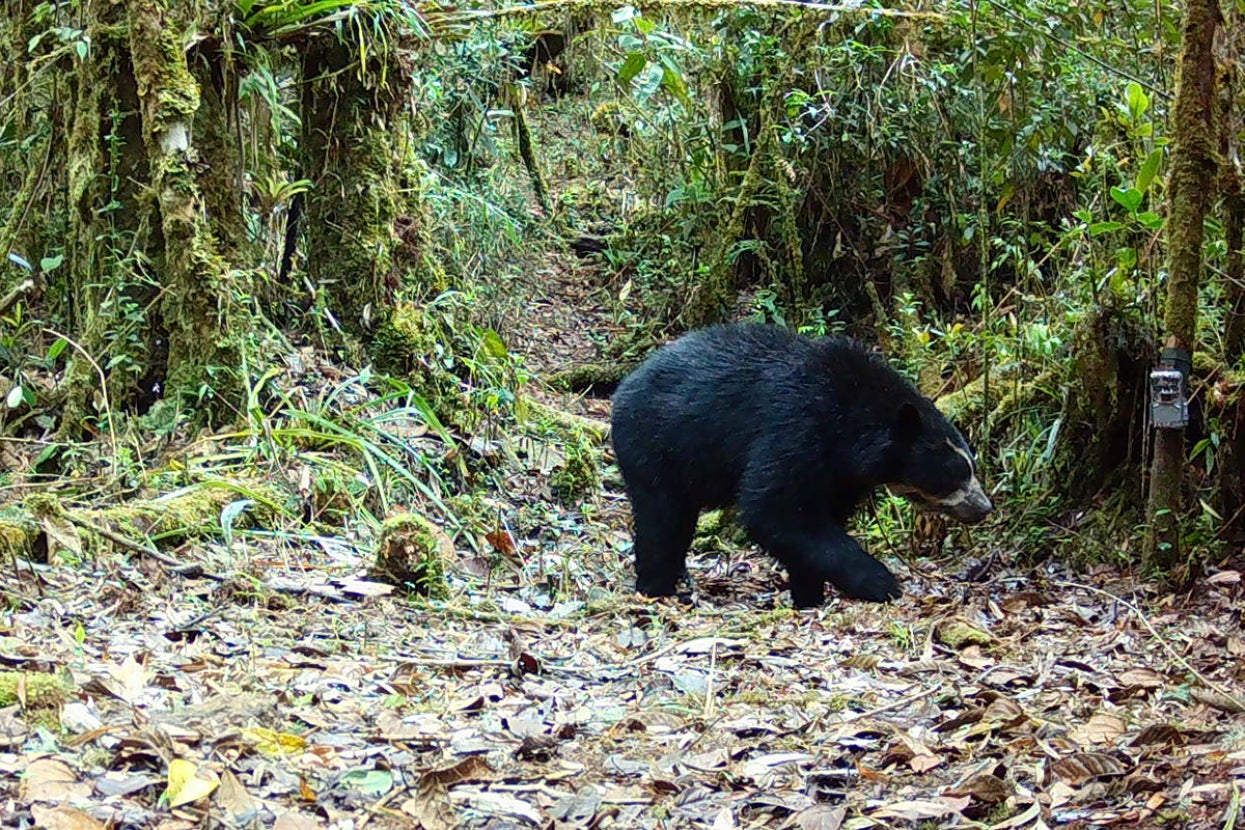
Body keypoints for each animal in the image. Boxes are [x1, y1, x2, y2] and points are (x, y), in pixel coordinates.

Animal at [609, 322, 992, 608]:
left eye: (970, 466)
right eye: (954, 475)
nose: (984, 507)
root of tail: (623, 388)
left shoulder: (841, 474)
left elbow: (812, 523)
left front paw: (810, 594)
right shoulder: (795, 426)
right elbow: (775, 509)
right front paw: (881, 582)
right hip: (655, 447)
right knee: (662, 520)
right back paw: (656, 586)